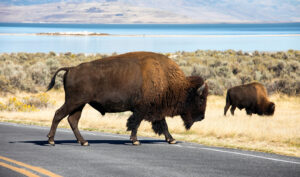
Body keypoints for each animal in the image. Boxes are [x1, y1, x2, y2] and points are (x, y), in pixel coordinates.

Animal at [46, 50, 209, 145]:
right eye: (201, 98)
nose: (202, 117)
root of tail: (71, 69)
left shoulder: (156, 110)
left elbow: (163, 125)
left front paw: (172, 139)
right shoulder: (142, 109)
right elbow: (136, 123)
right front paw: (135, 141)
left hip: (79, 104)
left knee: (72, 120)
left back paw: (84, 142)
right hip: (74, 102)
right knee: (58, 114)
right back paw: (51, 140)